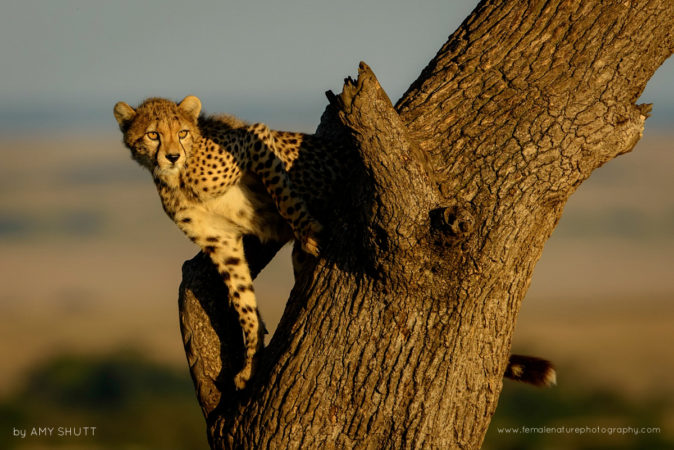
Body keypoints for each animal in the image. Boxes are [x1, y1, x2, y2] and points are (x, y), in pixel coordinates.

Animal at [113, 95, 556, 390]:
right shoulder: (223, 245)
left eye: (183, 133)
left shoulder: (255, 141)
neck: (179, 178)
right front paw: (250, 361)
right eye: (152, 135)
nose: (171, 155)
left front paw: (310, 231)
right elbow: (242, 303)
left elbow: (284, 192)